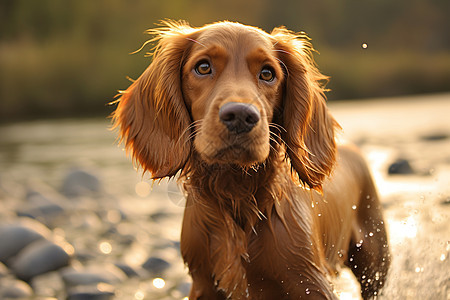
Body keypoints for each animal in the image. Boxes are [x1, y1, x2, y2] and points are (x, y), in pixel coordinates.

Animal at [110, 19, 388, 298]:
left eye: (267, 73)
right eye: (203, 67)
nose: (241, 116)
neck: (237, 194)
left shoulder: (310, 283)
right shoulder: (204, 285)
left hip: (374, 264)